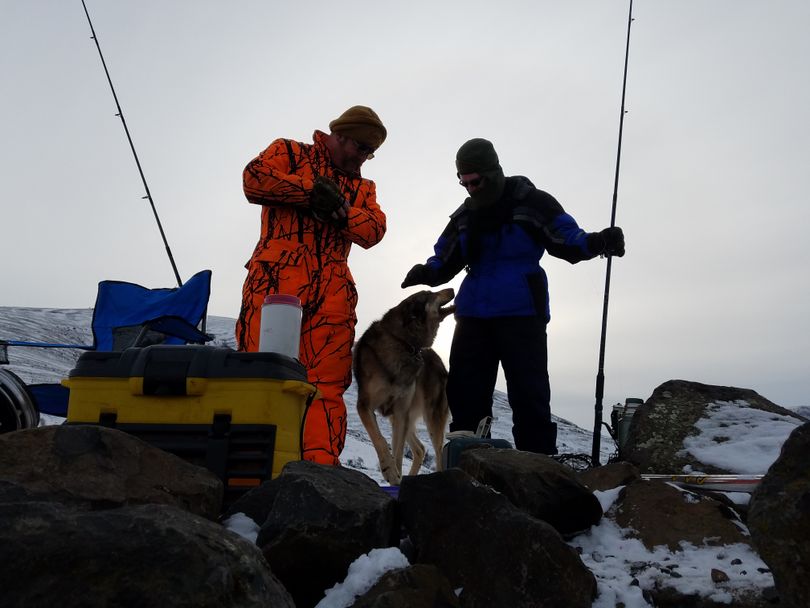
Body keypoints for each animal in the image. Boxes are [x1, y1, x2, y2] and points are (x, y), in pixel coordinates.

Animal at [352, 290, 454, 484]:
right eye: (430, 293)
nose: (452, 289)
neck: (403, 343)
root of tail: (441, 364)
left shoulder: (401, 412)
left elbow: (398, 454)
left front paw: (394, 475)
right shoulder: (365, 406)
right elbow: (379, 439)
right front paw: (390, 471)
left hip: (431, 418)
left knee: (437, 454)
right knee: (420, 449)